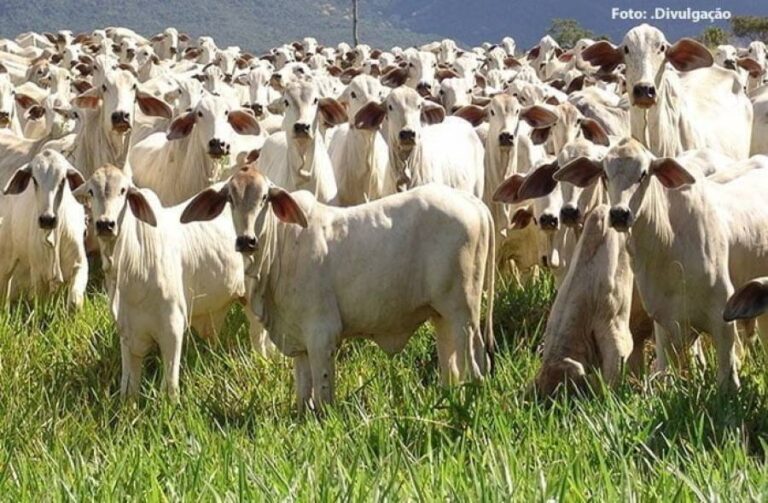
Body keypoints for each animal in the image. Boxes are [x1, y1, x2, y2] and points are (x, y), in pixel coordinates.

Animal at [178, 168, 496, 414]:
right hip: (442, 317)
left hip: (462, 313)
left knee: (475, 366)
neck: (280, 248)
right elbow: (303, 395)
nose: (246, 240)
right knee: (452, 369)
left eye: (265, 197)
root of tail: (472, 202)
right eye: (230, 199)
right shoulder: (299, 342)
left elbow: (323, 396)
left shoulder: (322, 335)